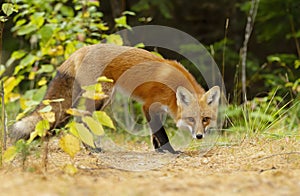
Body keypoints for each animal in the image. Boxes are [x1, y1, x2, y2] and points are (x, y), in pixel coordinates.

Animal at [9, 43, 220, 153]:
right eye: (191, 119)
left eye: (205, 119)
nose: (199, 136)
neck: (173, 87)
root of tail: (82, 49)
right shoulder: (149, 106)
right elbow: (161, 133)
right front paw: (169, 151)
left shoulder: (157, 109)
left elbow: (154, 134)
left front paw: (158, 150)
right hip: (100, 97)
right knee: (80, 119)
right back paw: (91, 148)